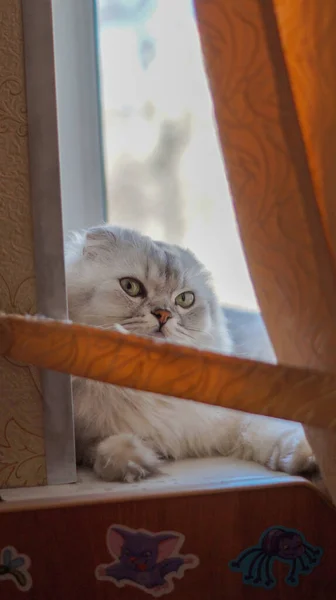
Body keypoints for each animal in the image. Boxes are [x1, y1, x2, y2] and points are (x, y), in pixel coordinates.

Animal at [65, 225, 316, 482]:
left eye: (185, 299)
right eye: (130, 287)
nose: (163, 314)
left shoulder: (230, 416)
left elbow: (268, 431)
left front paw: (304, 457)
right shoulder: (82, 438)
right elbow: (102, 450)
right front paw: (137, 462)